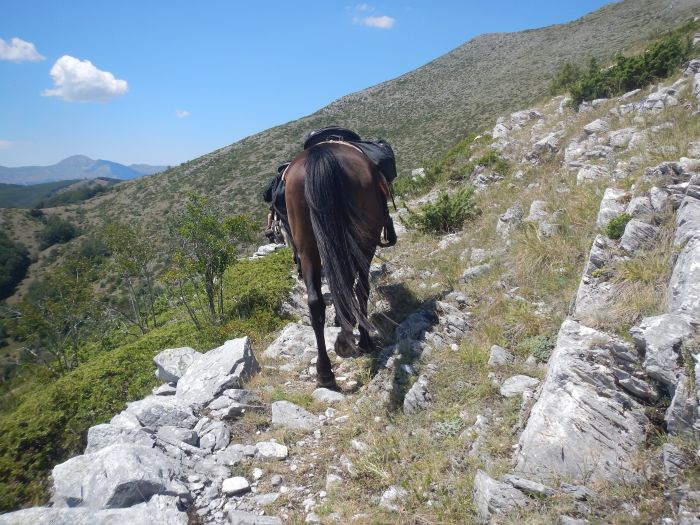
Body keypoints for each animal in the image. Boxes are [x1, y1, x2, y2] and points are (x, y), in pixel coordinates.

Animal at [284, 140, 388, 388]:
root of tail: (320, 153)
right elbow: (359, 288)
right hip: (363, 242)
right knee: (356, 287)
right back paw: (354, 339)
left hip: (308, 249)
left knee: (315, 302)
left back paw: (325, 373)